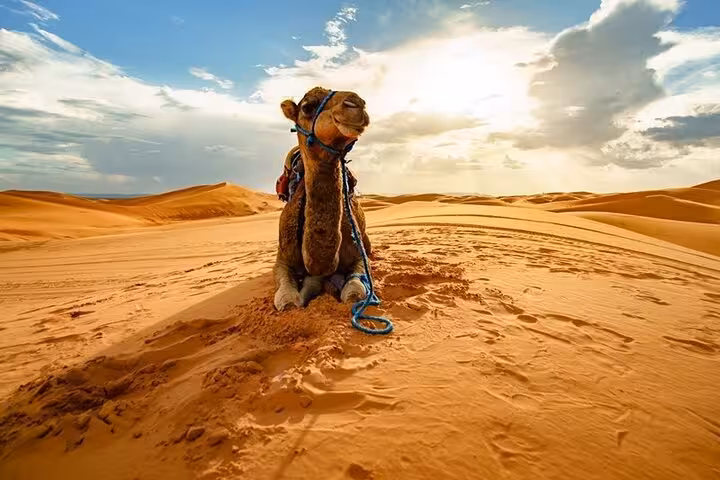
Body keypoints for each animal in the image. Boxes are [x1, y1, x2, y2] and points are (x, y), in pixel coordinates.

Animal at [273, 86, 374, 311]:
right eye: (307, 107)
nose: (356, 103)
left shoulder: (358, 256)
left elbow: (354, 292)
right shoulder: (282, 258)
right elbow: (286, 299)